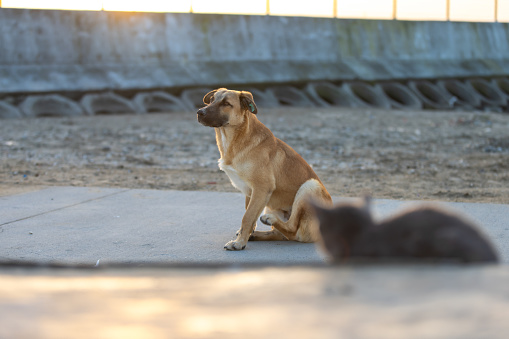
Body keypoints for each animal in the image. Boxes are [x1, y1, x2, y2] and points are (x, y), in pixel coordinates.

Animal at [196, 89, 332, 251]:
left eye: (226, 103)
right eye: (212, 100)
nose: (199, 112)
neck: (238, 138)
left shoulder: (262, 188)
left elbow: (247, 217)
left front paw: (239, 243)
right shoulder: (251, 193)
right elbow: (249, 216)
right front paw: (245, 236)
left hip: (310, 185)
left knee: (292, 230)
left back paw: (269, 220)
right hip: (272, 205)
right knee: (281, 235)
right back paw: (257, 234)